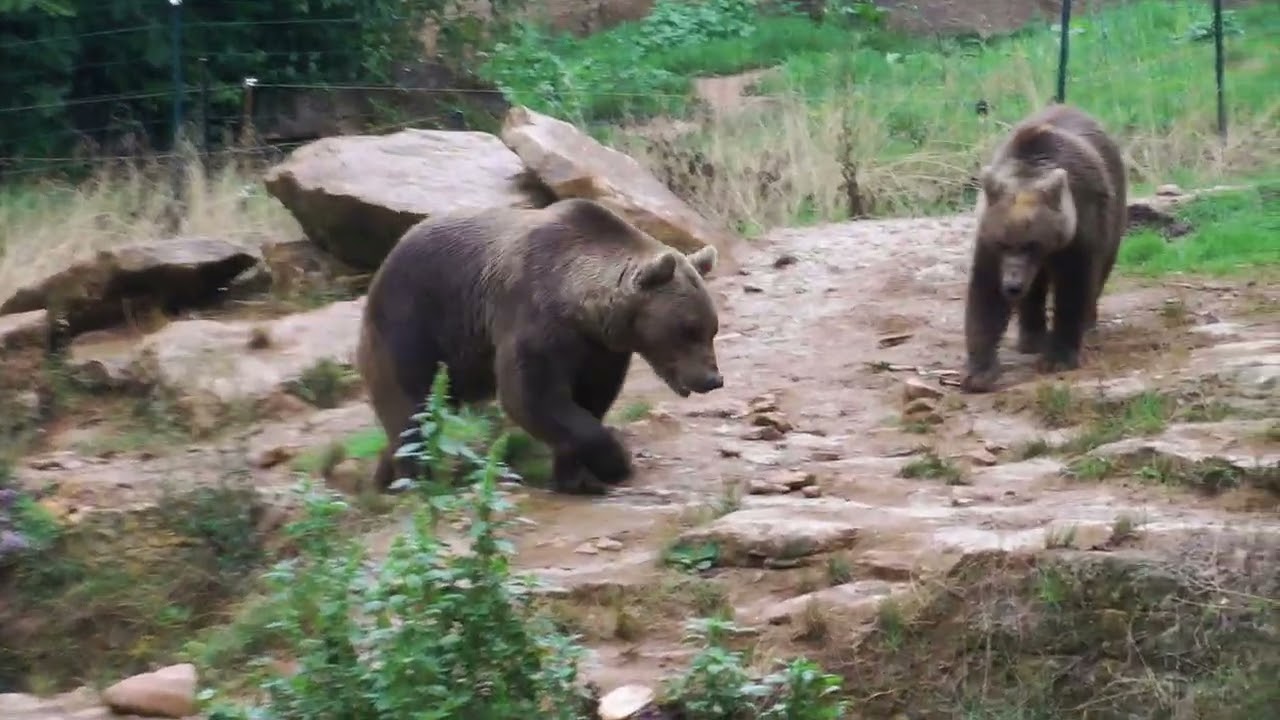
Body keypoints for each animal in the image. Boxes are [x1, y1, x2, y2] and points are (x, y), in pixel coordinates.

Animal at [355, 197, 725, 494]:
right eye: (687, 329)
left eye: (712, 328)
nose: (712, 379)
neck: (581, 309)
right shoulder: (533, 317)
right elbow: (532, 395)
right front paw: (616, 463)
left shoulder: (600, 350)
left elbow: (589, 399)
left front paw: (577, 476)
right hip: (413, 325)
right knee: (413, 407)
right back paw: (415, 479)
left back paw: (384, 475)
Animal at [960, 102, 1127, 394]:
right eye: (1003, 243)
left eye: (1032, 243)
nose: (1012, 285)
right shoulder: (989, 239)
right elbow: (986, 293)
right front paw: (979, 372)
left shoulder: (1080, 227)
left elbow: (1074, 287)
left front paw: (1058, 358)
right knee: (1034, 289)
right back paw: (1031, 339)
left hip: (1114, 205)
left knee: (1102, 267)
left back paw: (1087, 325)